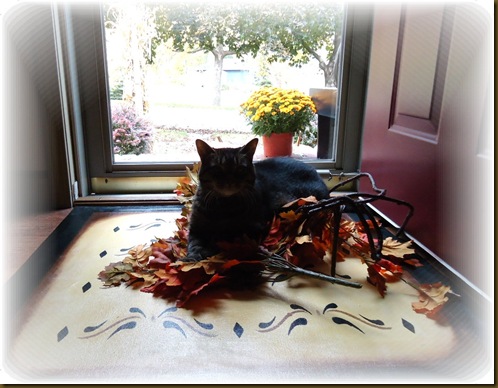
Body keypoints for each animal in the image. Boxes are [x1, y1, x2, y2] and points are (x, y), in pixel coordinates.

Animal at [185, 138, 328, 262]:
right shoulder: (196, 228)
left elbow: (224, 238)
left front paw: (209, 248)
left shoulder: (254, 228)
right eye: (217, 169)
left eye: (240, 169)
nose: (230, 181)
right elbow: (193, 244)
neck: (222, 205)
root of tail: (317, 173)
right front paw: (191, 257)